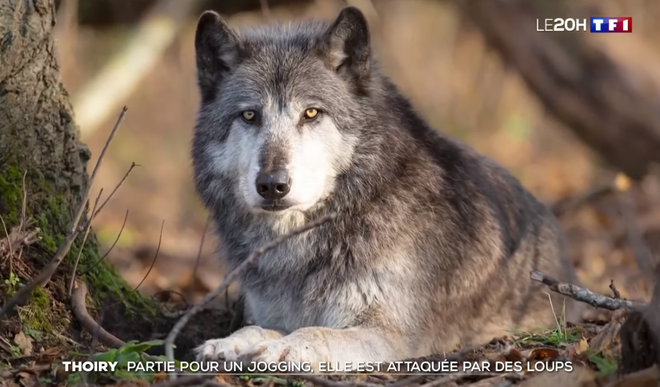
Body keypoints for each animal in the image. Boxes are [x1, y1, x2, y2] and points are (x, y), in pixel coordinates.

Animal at [191, 6, 584, 370]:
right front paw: (230, 343)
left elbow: (313, 332)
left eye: (311, 113)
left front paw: (281, 349)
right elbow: (258, 329)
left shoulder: (391, 335)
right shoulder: (273, 314)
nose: (272, 185)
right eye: (249, 115)